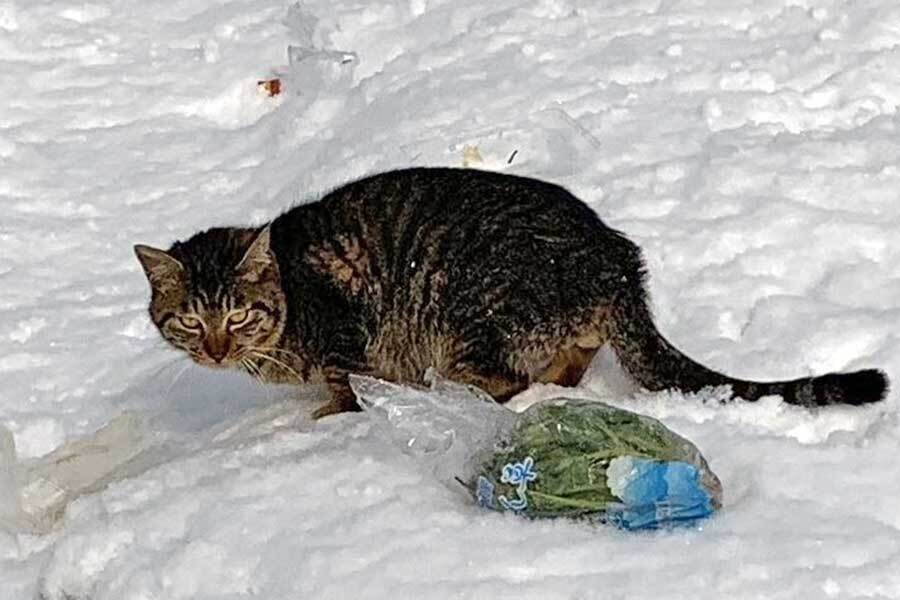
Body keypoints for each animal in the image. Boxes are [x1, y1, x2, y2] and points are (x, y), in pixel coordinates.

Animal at [137, 166, 888, 414]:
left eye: (238, 315)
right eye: (190, 321)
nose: (213, 350)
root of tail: (617, 259)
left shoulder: (349, 330)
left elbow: (345, 383)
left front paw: (335, 411)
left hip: (466, 311)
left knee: (505, 380)